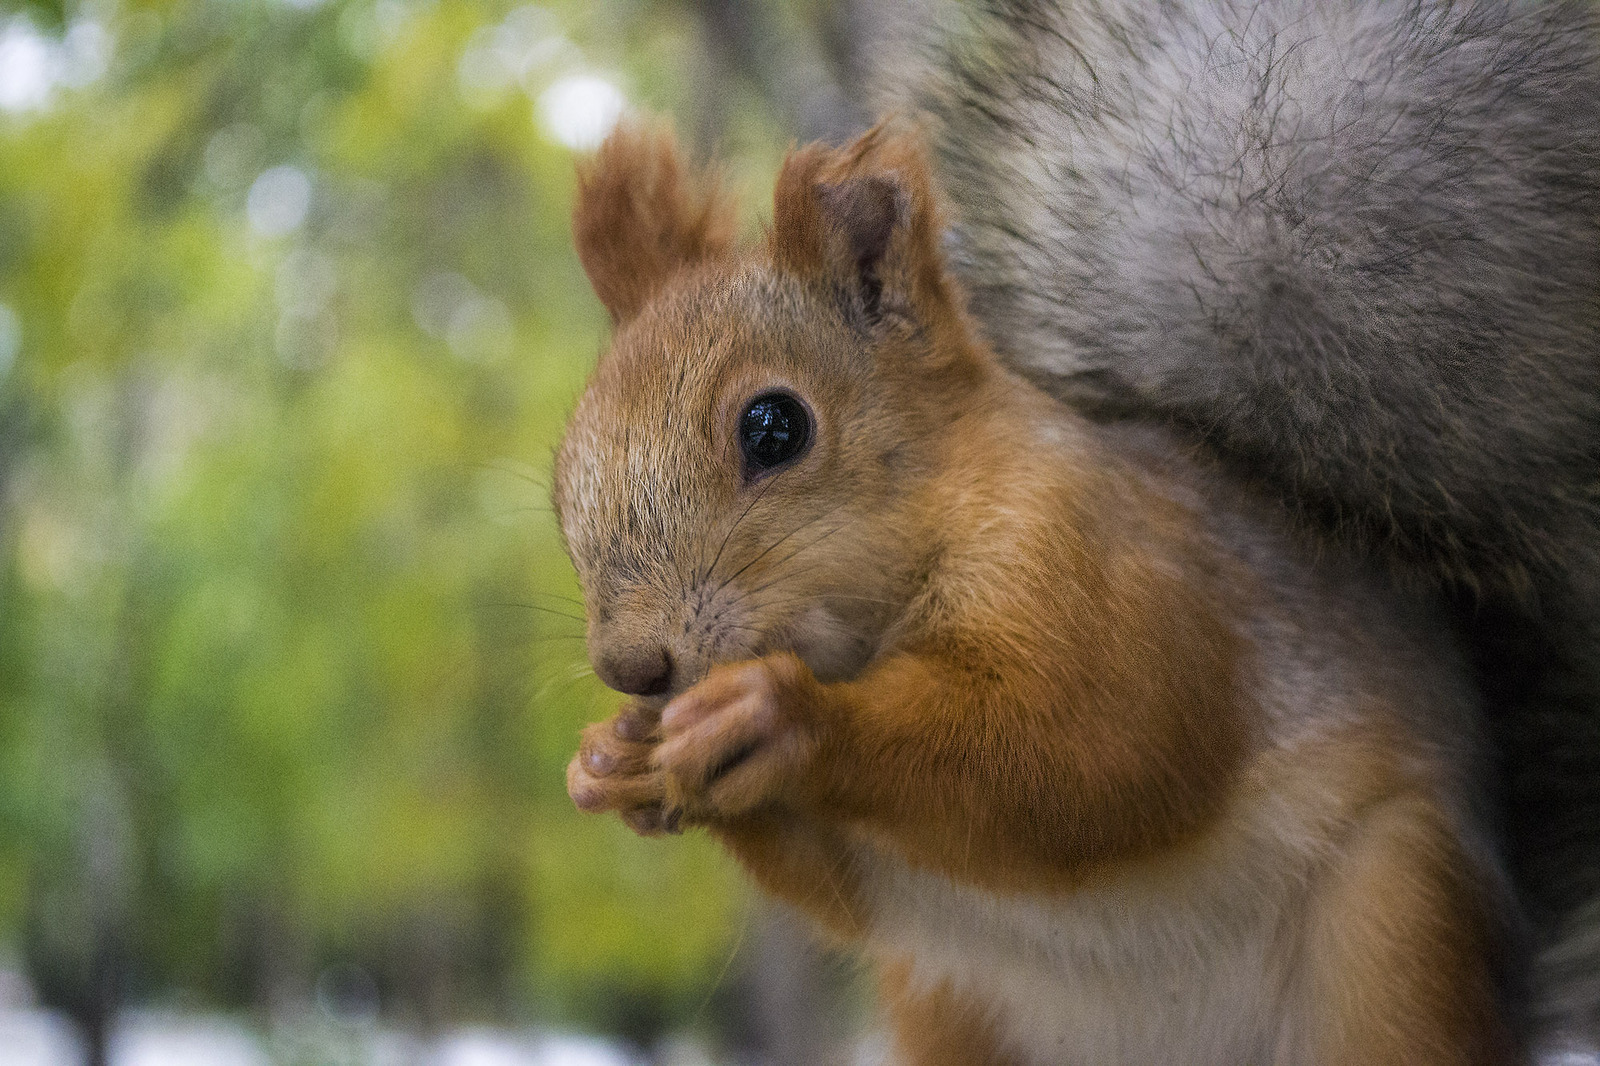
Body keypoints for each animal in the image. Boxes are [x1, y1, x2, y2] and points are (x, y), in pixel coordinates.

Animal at [556, 122, 1516, 1062]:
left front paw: (780, 715)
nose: (633, 667)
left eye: (774, 427)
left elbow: (1100, 749)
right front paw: (609, 760)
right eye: (565, 472)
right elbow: (845, 885)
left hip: (1393, 921)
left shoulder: (1099, 555)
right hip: (951, 1009)